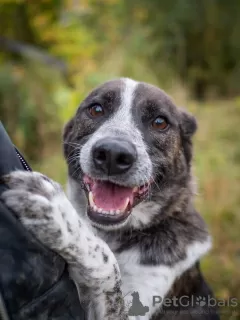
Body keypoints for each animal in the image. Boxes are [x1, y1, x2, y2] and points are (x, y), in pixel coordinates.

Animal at [1, 78, 219, 320]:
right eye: (96, 109)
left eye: (160, 122)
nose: (113, 154)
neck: (112, 233)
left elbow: (107, 262)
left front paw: (60, 217)